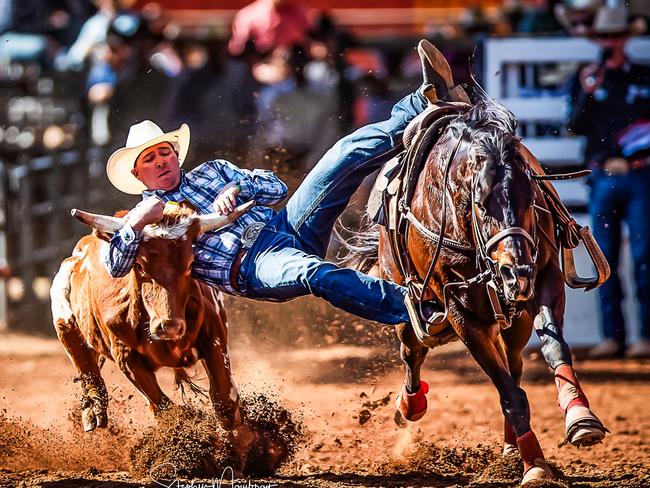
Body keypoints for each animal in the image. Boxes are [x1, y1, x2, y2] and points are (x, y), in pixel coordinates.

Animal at [346, 98, 604, 484]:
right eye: (480, 203)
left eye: (530, 199)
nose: (516, 271)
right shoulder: (461, 312)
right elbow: (510, 395)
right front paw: (535, 464)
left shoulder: (545, 279)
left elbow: (553, 350)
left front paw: (580, 418)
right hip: (408, 306)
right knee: (413, 352)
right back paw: (410, 405)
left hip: (515, 322)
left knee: (514, 366)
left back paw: (511, 447)